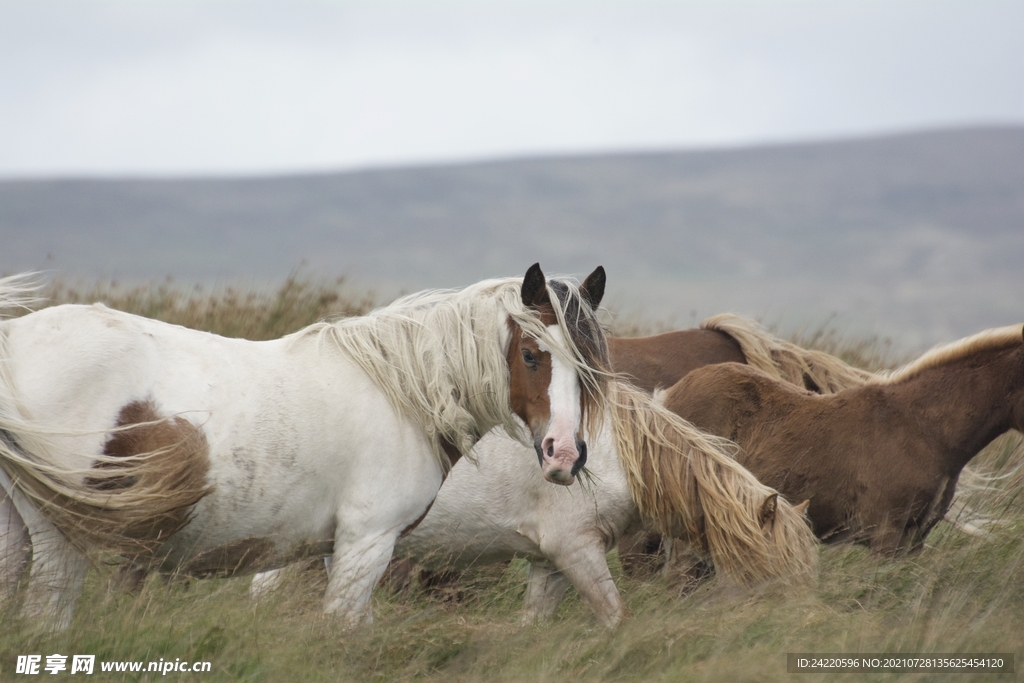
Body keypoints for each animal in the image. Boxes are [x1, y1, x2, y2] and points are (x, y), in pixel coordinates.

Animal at [0, 264, 609, 630]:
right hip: (62, 536)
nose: (563, 455)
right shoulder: (367, 542)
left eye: (591, 364)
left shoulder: (344, 548)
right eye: (531, 355)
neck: (402, 391)